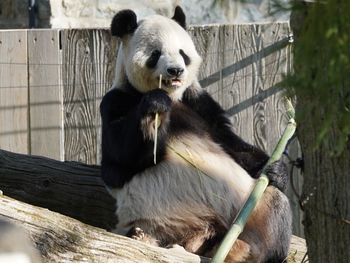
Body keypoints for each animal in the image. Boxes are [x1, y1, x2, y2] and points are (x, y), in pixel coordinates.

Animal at [100, 6, 292, 263]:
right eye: (156, 54)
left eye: (183, 53)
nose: (176, 70)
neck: (173, 97)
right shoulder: (116, 101)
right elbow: (118, 161)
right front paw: (155, 107)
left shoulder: (198, 103)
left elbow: (231, 142)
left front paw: (276, 169)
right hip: (156, 221)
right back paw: (145, 237)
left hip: (247, 207)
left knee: (273, 206)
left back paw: (247, 250)